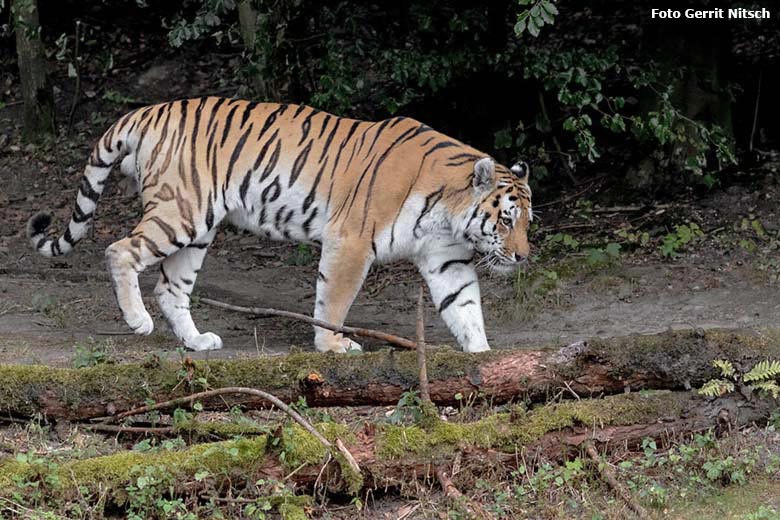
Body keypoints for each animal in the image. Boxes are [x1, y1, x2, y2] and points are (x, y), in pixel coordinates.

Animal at [27, 97, 532, 354]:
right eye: (506, 219)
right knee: (119, 250)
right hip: (180, 212)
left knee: (170, 287)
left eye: (527, 222)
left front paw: (484, 357)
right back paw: (138, 322)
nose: (524, 256)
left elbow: (465, 307)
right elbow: (334, 299)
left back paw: (197, 342)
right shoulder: (351, 241)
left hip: (198, 229)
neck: (449, 211)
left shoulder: (446, 258)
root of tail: (147, 110)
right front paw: (332, 345)